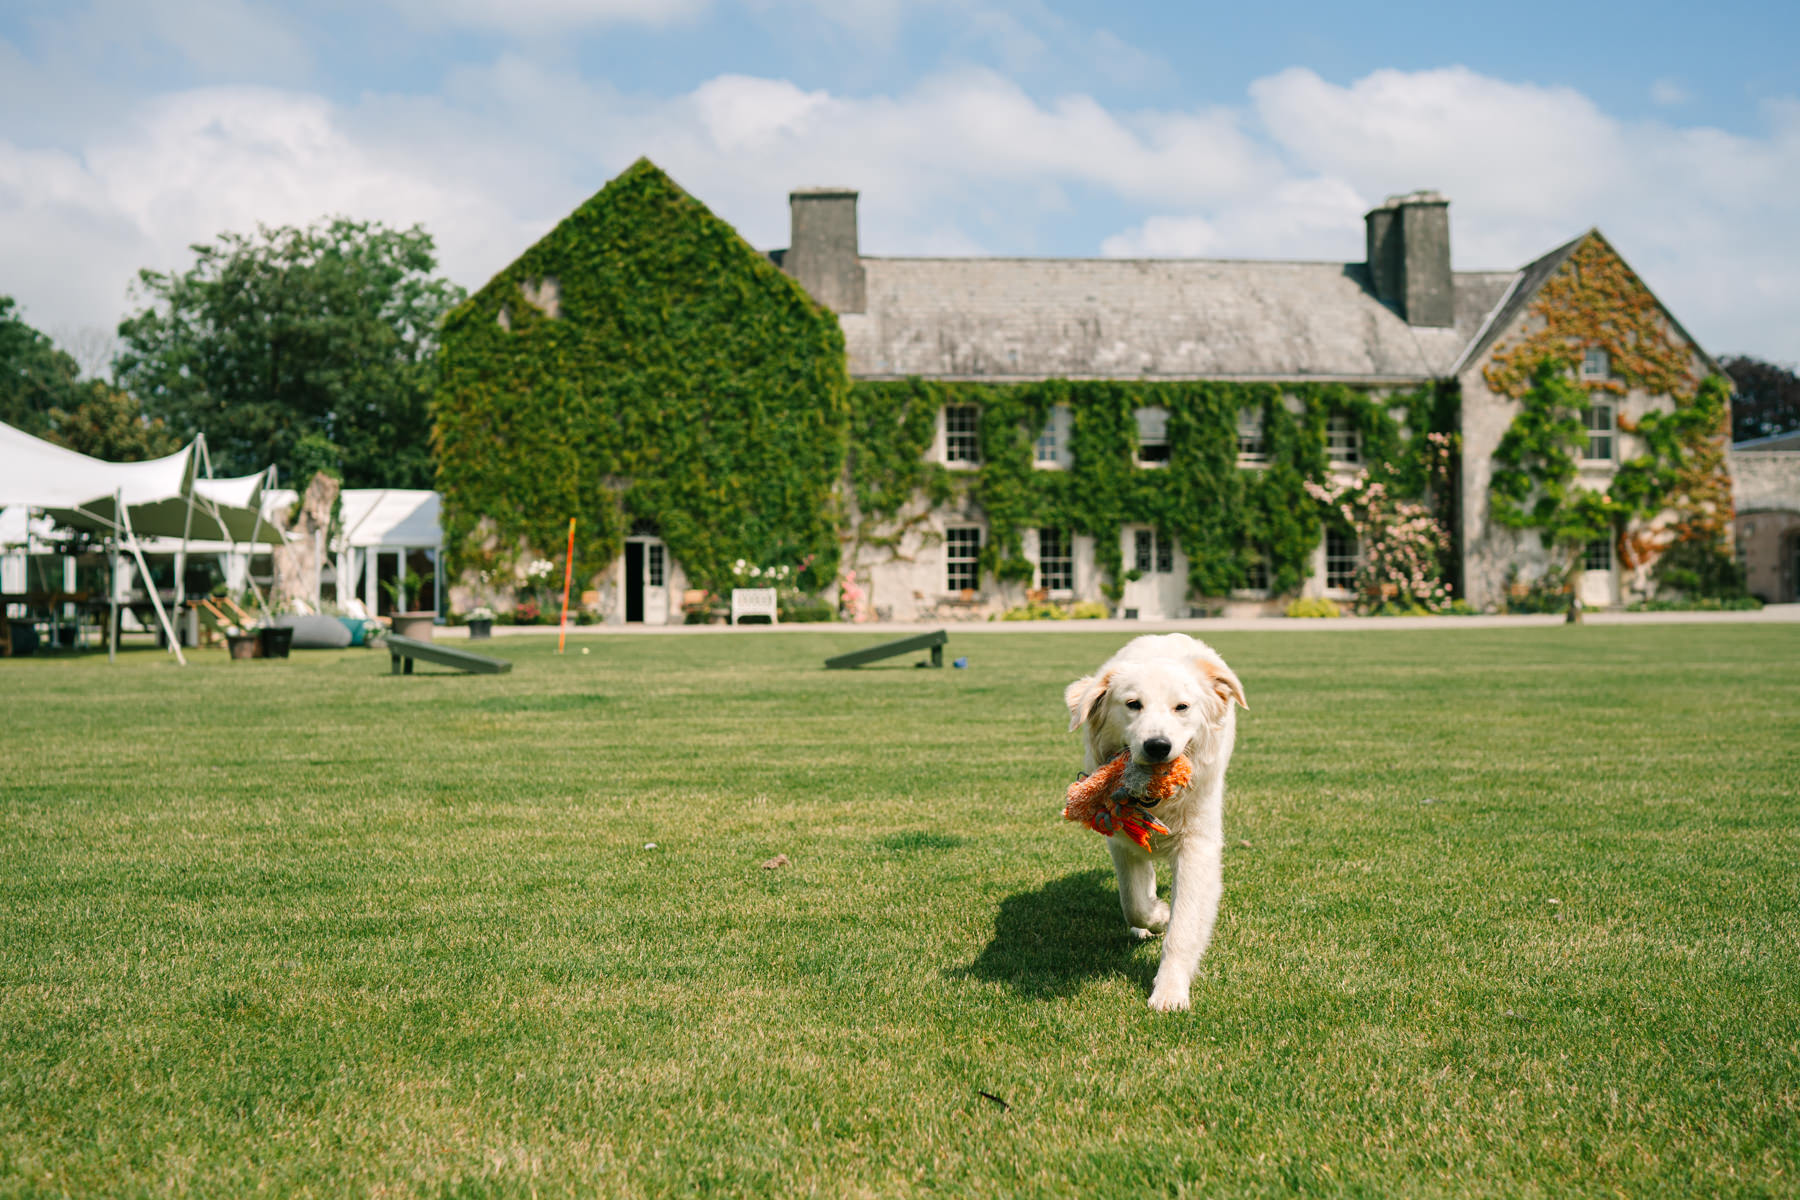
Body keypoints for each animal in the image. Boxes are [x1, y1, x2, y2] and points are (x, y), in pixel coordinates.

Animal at [1058, 633, 1245, 1007]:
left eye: (1182, 707)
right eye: (1133, 704)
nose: (1158, 746)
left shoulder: (1197, 846)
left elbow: (1183, 926)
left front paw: (1170, 992)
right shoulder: (1121, 841)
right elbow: (1134, 902)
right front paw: (1157, 916)